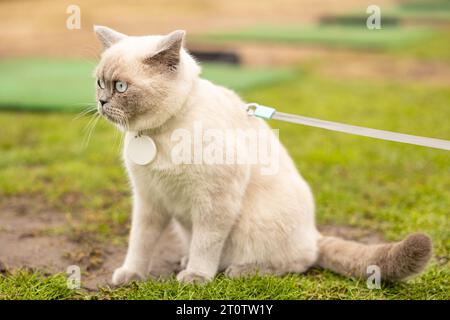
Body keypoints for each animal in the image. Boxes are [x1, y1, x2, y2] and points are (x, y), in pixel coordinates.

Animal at [92, 25, 432, 284]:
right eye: (99, 82)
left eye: (121, 87)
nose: (102, 102)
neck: (156, 134)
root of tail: (314, 234)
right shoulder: (149, 200)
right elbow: (139, 242)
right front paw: (130, 276)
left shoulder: (214, 202)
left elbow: (206, 244)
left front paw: (196, 278)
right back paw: (187, 260)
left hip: (255, 225)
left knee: (296, 262)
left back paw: (235, 270)